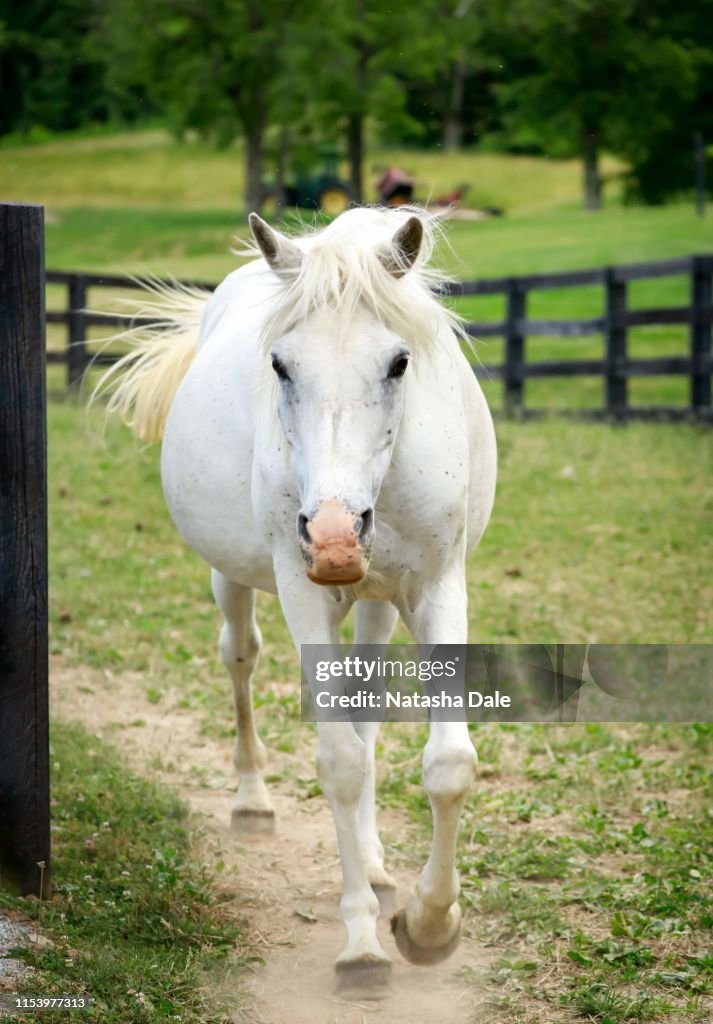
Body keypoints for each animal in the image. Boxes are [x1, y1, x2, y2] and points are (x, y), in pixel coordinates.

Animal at [98, 206, 497, 997]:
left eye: (398, 362)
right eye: (281, 365)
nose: (336, 537)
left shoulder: (438, 587)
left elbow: (446, 764)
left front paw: (429, 925)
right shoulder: (299, 591)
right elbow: (339, 762)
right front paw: (363, 946)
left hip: (375, 600)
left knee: (366, 711)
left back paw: (376, 870)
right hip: (237, 580)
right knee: (241, 661)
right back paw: (254, 805)